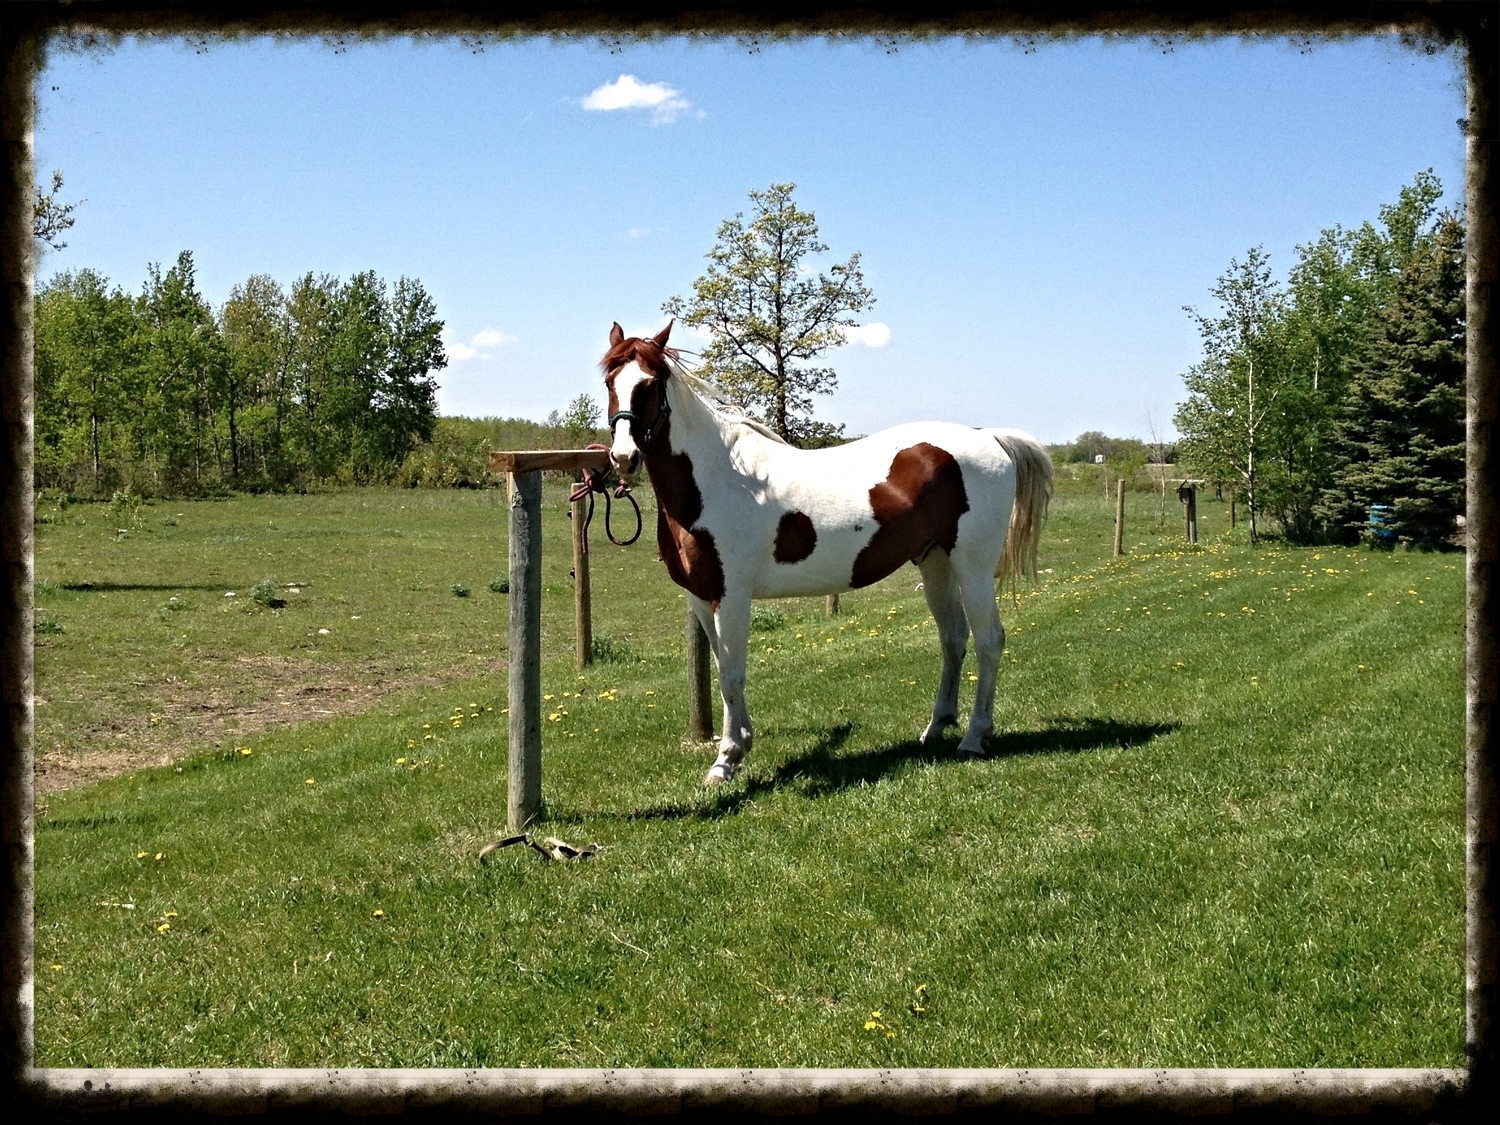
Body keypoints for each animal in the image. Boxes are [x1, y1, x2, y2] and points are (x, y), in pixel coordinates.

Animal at [600, 321, 1056, 786]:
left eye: (650, 384)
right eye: (610, 383)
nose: (624, 457)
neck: (717, 477)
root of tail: (988, 437)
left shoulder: (732, 597)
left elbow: (731, 676)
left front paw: (725, 759)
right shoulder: (700, 596)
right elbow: (725, 672)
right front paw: (742, 743)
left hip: (973, 567)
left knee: (988, 639)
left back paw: (975, 737)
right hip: (936, 563)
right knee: (953, 638)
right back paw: (935, 728)